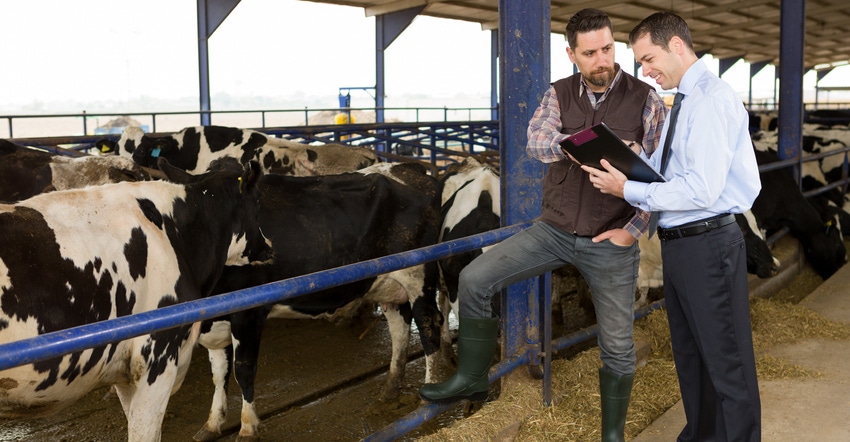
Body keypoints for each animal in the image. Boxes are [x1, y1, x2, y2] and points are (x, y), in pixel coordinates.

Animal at [192, 162, 444, 442]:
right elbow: (219, 374)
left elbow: (243, 371)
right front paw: (212, 424)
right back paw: (390, 390)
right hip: (389, 284)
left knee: (429, 326)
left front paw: (247, 428)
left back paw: (429, 398)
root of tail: (408, 167)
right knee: (400, 331)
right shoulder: (214, 317)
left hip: (419, 275)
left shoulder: (249, 313)